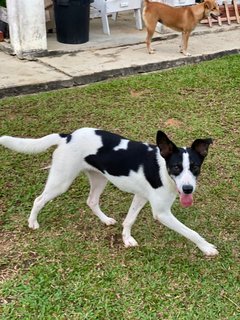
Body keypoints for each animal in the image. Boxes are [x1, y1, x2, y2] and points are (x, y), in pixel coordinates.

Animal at [0, 129, 218, 256]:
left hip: (99, 178)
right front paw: (206, 247)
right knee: (39, 199)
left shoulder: (141, 196)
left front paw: (126, 239)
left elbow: (129, 219)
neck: (162, 170)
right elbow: (190, 231)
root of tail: (68, 136)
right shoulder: (162, 213)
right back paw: (32, 222)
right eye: (176, 167)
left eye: (195, 167)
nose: (188, 189)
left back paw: (105, 220)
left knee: (91, 201)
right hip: (61, 181)